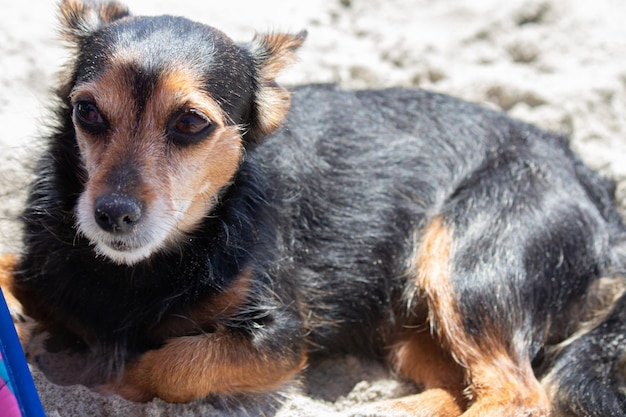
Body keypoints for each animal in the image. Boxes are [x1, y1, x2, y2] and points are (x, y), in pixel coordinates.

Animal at [1, 0, 624, 414]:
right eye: (86, 112)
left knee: (518, 395)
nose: (111, 214)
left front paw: (101, 377)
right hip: (413, 323)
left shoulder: (278, 334)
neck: (138, 272)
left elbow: (170, 362)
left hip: (469, 267)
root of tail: (587, 177)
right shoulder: (39, 268)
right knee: (455, 388)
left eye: (190, 123)